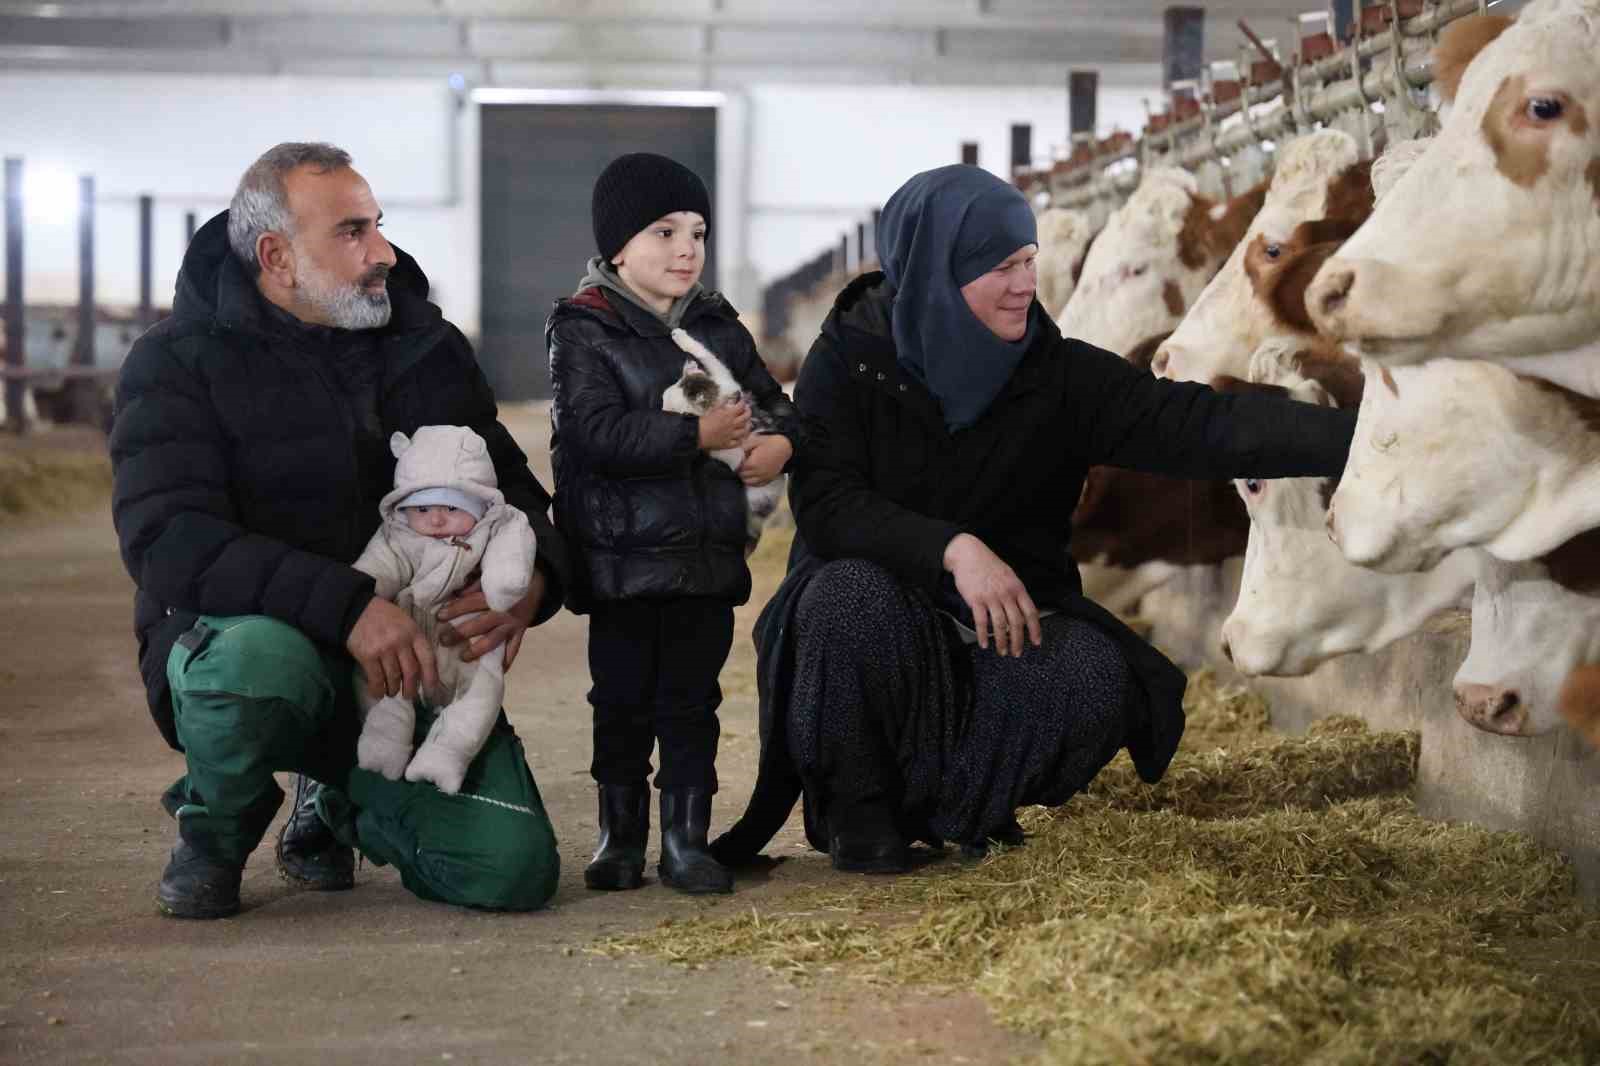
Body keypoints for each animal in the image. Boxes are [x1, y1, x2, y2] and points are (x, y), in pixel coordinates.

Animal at [662, 328, 787, 550]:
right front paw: (681, 337)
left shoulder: (736, 453)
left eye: (669, 408)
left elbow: (708, 355)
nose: (659, 409)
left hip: (758, 496)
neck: (717, 398)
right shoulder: (724, 378)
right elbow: (707, 355)